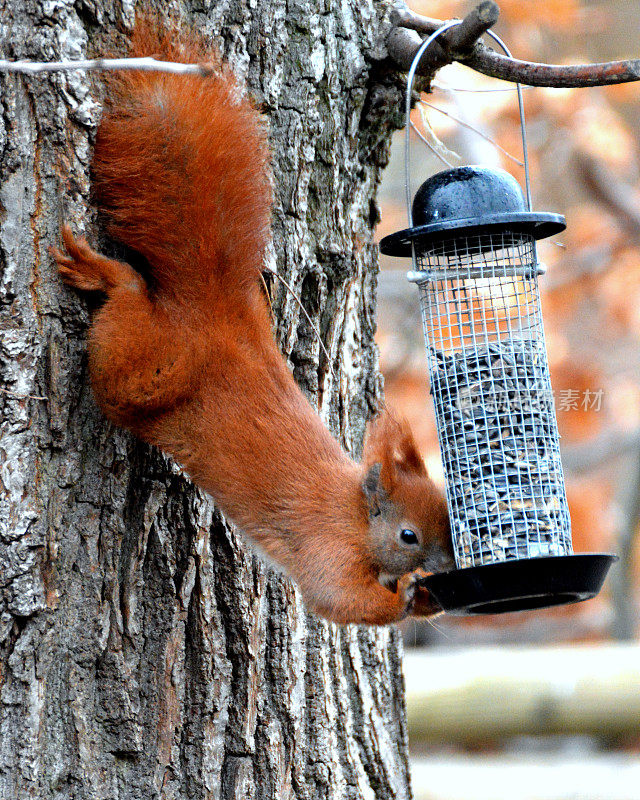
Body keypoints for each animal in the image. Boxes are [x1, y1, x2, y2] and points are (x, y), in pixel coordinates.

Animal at [50, 15, 452, 620]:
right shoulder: (329, 550)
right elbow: (338, 599)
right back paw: (106, 275)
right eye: (409, 536)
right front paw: (407, 596)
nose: (448, 569)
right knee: (126, 313)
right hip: (141, 374)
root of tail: (216, 316)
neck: (356, 516)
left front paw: (425, 596)